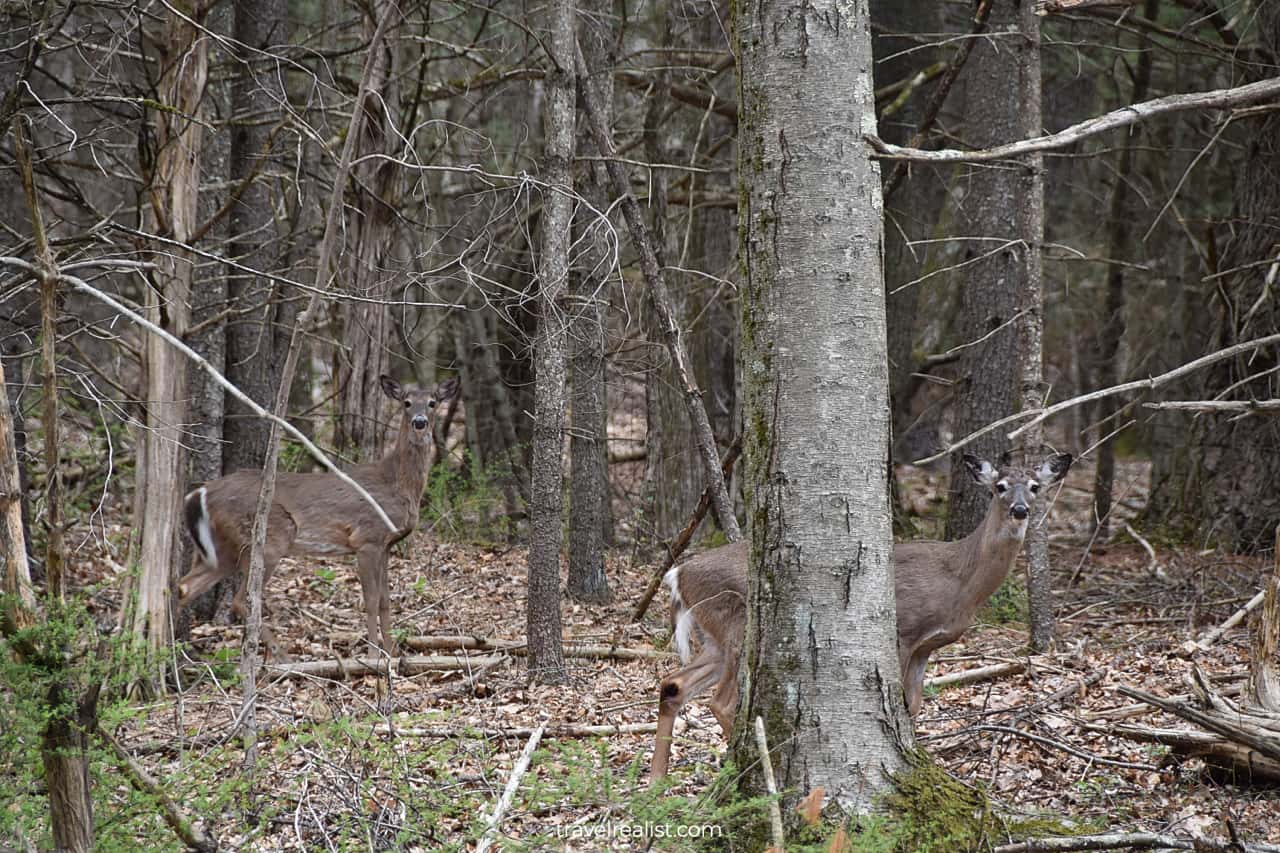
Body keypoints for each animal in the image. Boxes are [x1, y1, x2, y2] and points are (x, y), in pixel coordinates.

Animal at [177, 373, 460, 655]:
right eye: (406, 403)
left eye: (433, 402)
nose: (420, 422)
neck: (397, 484)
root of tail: (199, 493)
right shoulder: (367, 538)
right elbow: (369, 600)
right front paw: (373, 655)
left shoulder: (386, 544)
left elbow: (385, 601)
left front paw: (392, 653)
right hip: (267, 540)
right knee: (242, 600)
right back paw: (280, 655)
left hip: (222, 550)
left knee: (184, 587)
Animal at [650, 450, 1070, 778]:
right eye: (1000, 486)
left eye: (1035, 486)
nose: (1020, 510)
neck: (960, 579)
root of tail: (678, 573)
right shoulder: (904, 630)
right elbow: (903, 703)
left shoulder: (927, 646)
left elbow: (914, 705)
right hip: (737, 623)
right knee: (720, 701)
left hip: (715, 636)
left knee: (674, 684)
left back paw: (657, 784)